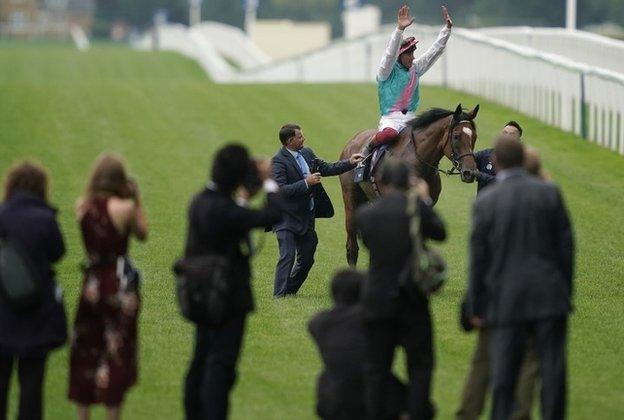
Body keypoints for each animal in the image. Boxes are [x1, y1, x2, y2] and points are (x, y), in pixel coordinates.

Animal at [342, 103, 478, 264]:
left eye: (475, 137)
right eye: (456, 136)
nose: (470, 172)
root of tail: (353, 140)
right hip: (350, 197)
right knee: (352, 245)